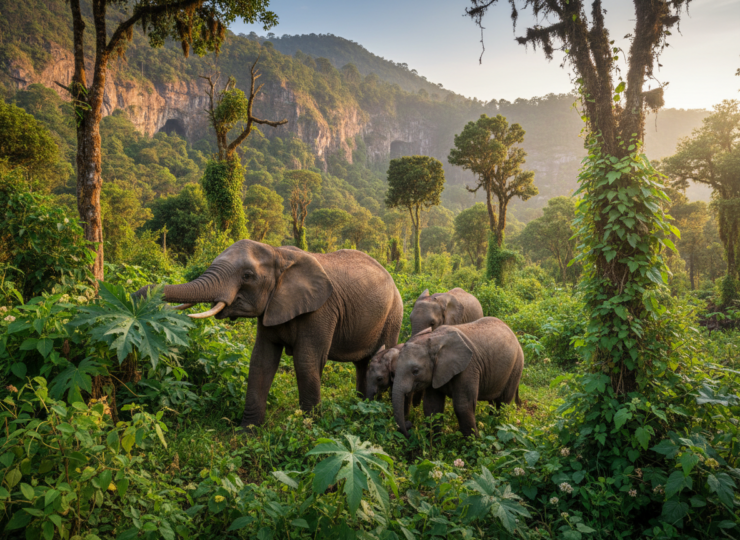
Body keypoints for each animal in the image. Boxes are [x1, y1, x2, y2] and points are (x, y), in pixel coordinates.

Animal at [135, 240, 403, 428]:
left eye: (247, 276)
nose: (140, 293)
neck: (279, 254)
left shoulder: (321, 310)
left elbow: (306, 362)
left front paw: (309, 429)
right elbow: (261, 361)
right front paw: (247, 432)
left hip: (393, 315)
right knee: (362, 364)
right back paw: (362, 407)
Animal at [392, 317, 523, 438]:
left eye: (415, 371)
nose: (409, 425)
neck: (435, 339)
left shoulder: (468, 368)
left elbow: (462, 407)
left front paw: (474, 442)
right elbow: (432, 405)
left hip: (516, 366)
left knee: (503, 403)